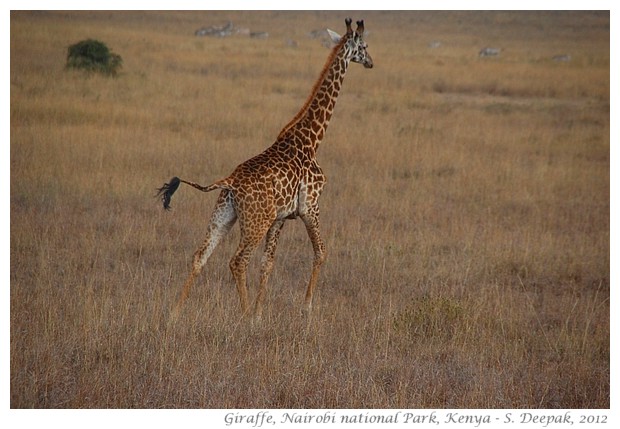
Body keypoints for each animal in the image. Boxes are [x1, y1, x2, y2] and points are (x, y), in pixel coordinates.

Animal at [159, 17, 372, 318]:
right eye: (364, 46)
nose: (371, 62)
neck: (311, 139)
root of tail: (229, 182)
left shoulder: (281, 217)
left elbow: (268, 264)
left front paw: (261, 314)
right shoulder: (311, 205)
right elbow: (321, 252)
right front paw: (306, 308)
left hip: (224, 214)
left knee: (201, 256)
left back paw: (176, 313)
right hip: (255, 222)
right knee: (237, 261)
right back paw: (244, 315)